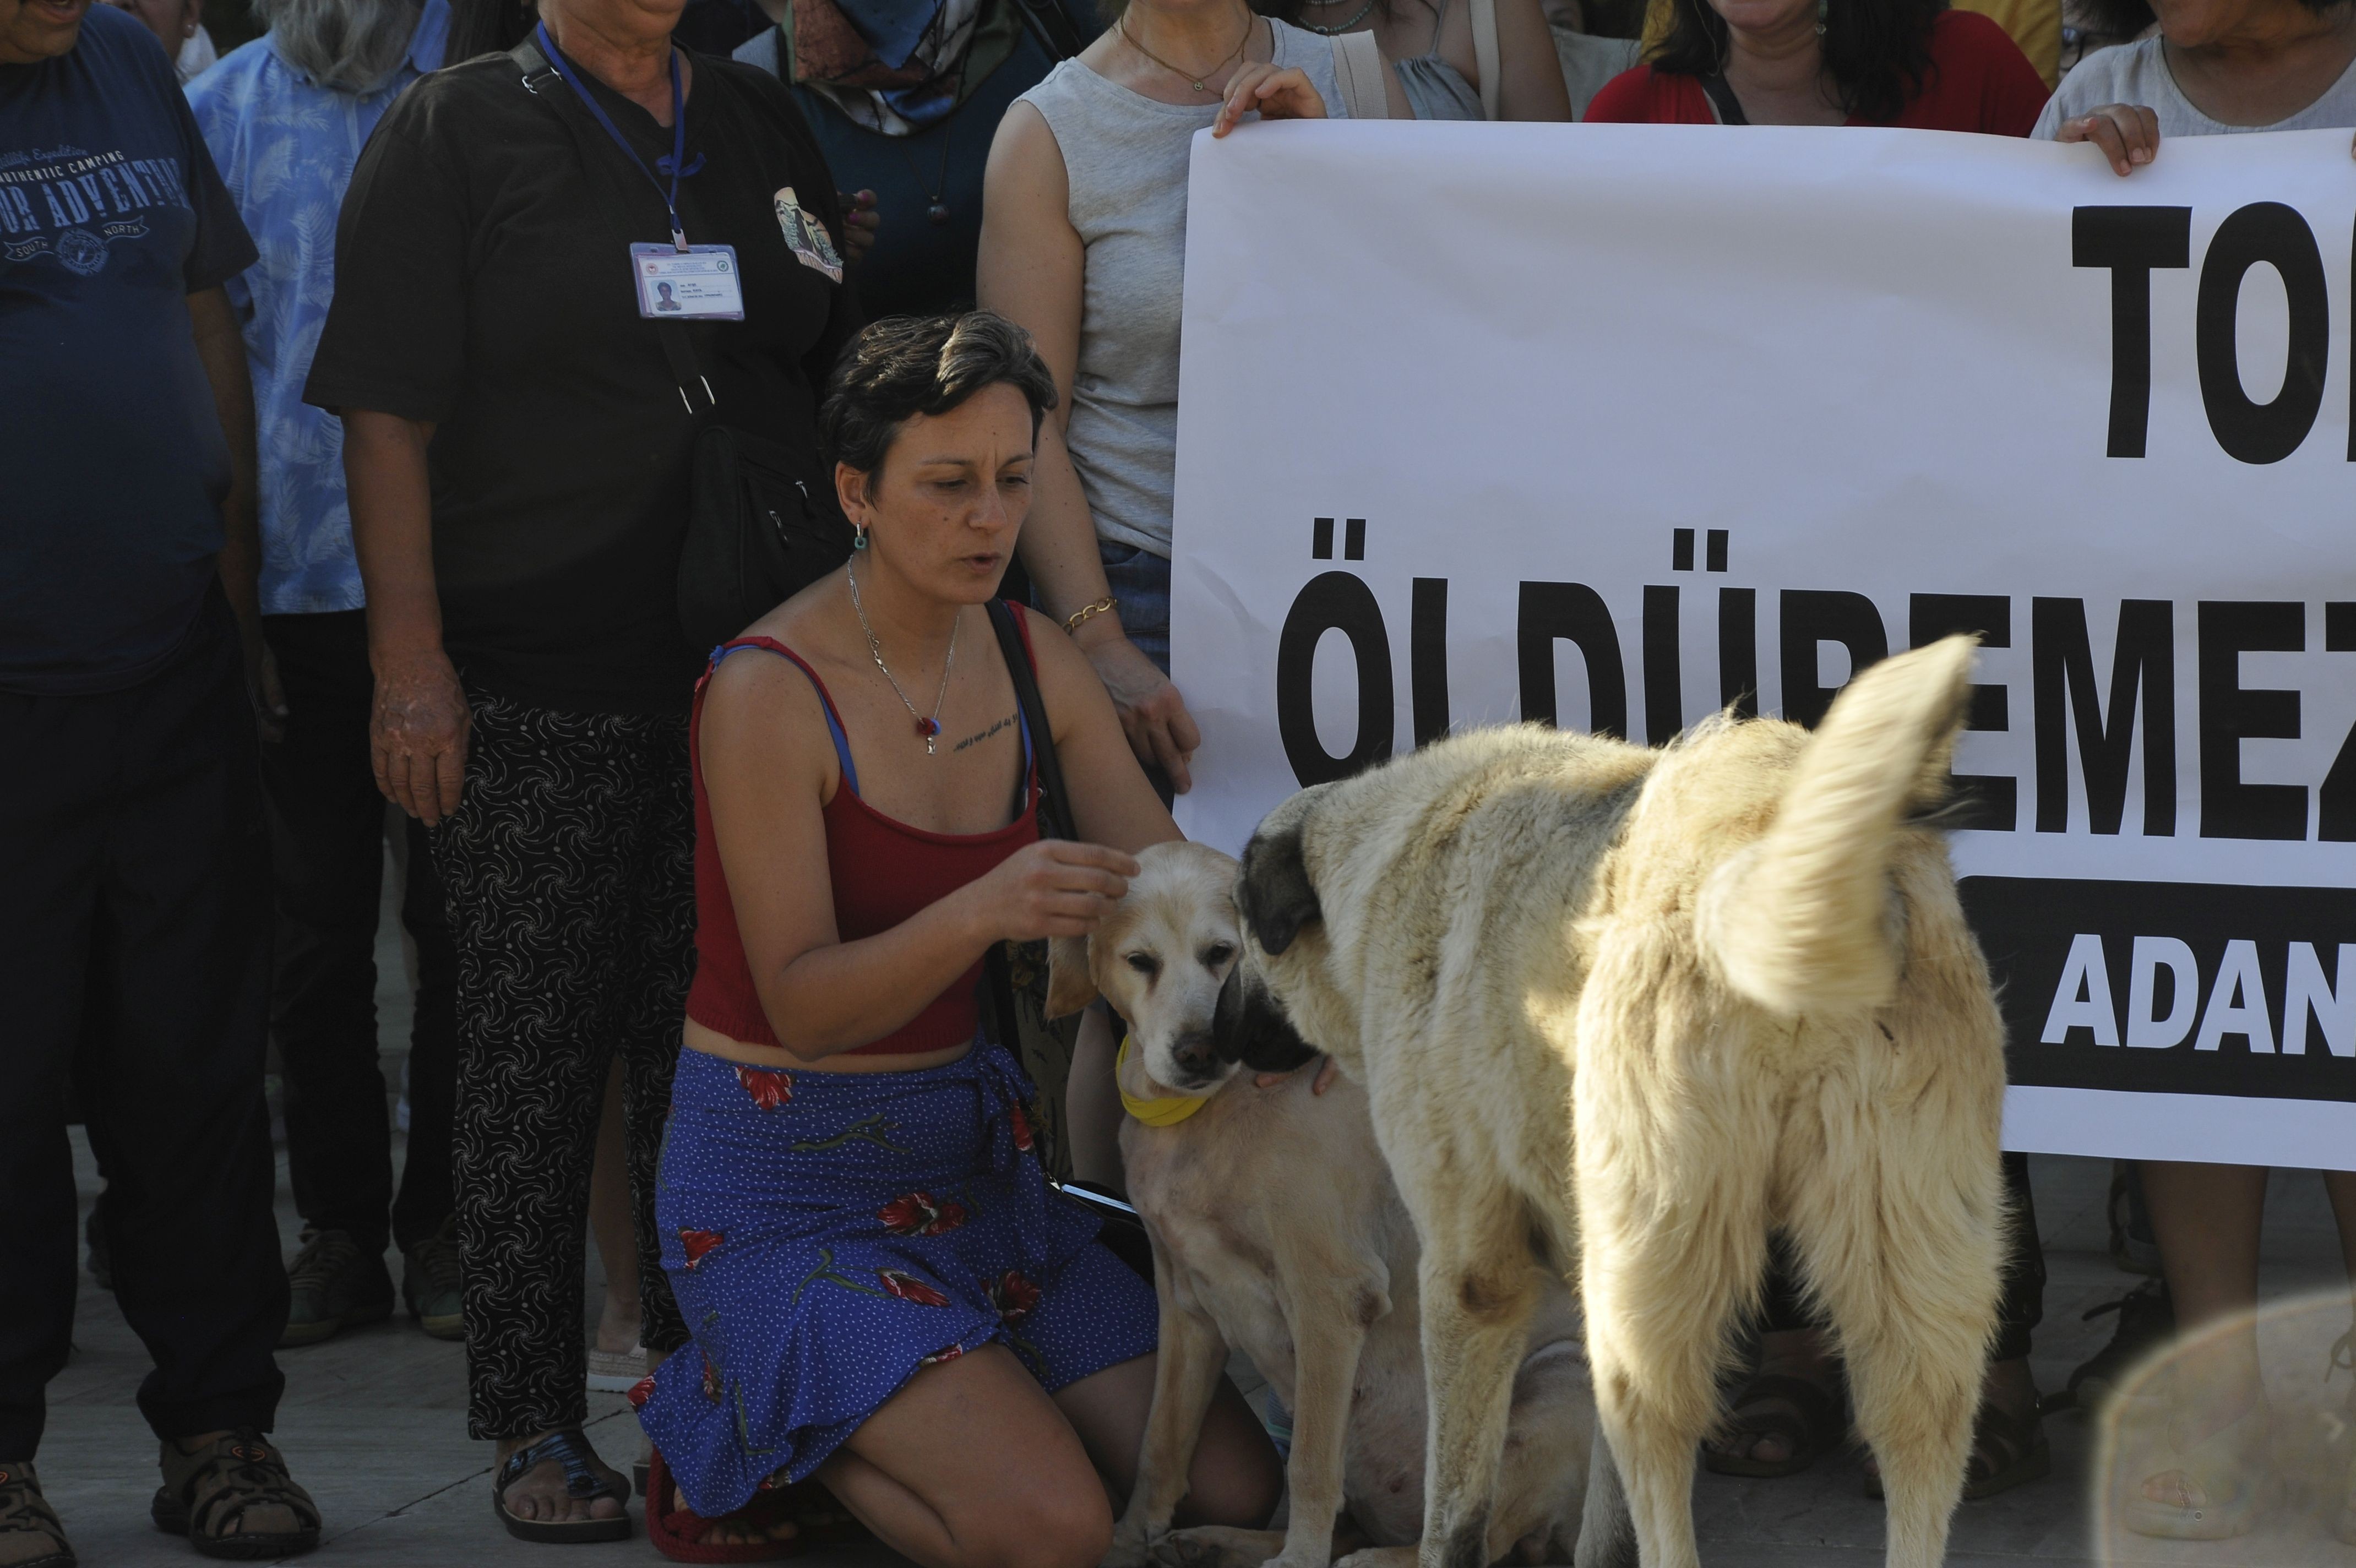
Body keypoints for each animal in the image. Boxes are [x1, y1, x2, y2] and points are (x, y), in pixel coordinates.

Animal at [1055, 847, 1592, 1563]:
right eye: (1141, 961)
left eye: (1221, 952)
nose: (1201, 1048)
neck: (1207, 1116)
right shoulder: (1184, 1303)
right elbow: (1160, 1441)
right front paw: (1131, 1536)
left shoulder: (1327, 1294)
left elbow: (1310, 1462)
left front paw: (1299, 1558)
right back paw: (1213, 1543)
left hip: (1558, 1385)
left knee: (1459, 1541)